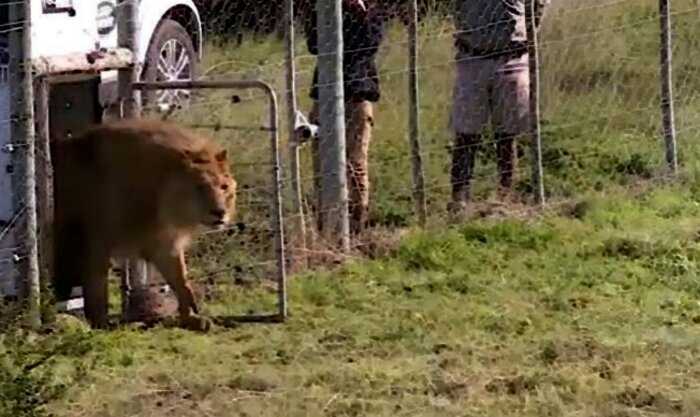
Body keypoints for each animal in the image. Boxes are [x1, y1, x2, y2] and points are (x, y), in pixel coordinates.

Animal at [51, 118, 238, 330]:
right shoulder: (95, 240)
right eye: (199, 187)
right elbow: (96, 287)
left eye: (224, 187)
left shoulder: (163, 242)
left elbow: (181, 281)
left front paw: (192, 318)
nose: (220, 212)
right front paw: (101, 323)